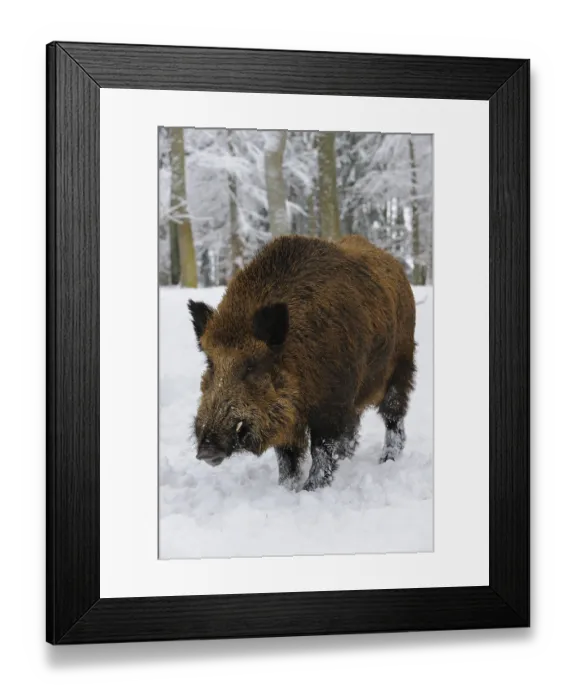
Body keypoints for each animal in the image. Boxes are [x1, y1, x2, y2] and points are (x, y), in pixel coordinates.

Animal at [187, 234, 416, 491]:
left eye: (252, 365)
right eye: (210, 363)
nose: (206, 450)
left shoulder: (331, 404)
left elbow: (321, 449)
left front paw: (312, 489)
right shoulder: (289, 417)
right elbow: (287, 457)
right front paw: (286, 489)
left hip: (402, 366)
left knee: (393, 415)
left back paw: (387, 459)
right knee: (354, 425)